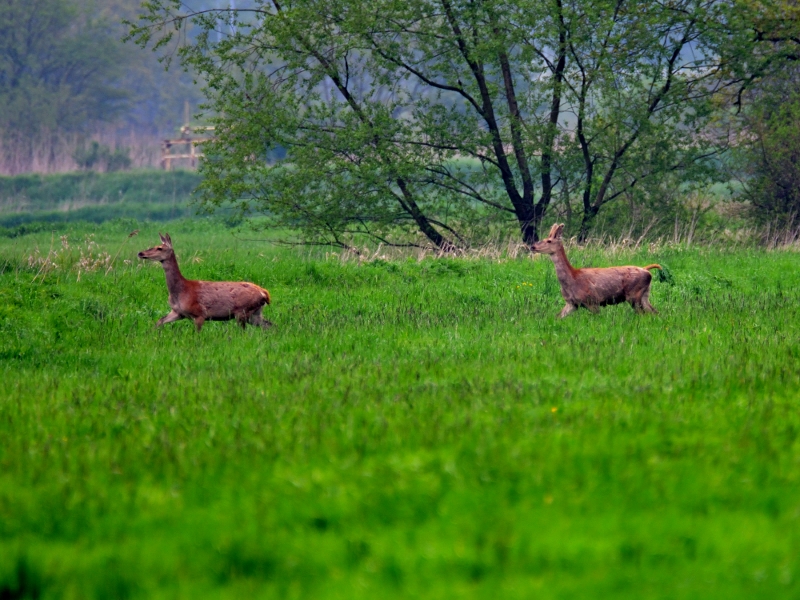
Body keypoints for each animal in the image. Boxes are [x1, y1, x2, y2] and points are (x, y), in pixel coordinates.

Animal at [137, 232, 272, 330]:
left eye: (159, 248)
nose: (140, 253)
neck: (181, 290)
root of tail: (264, 292)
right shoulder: (177, 312)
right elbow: (159, 321)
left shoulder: (200, 314)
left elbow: (196, 334)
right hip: (255, 313)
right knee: (270, 325)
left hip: (242, 311)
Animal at [532, 224, 664, 318]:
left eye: (549, 241)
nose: (532, 246)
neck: (572, 277)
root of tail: (646, 270)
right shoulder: (572, 303)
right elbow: (557, 317)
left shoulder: (592, 301)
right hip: (644, 294)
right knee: (654, 312)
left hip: (634, 294)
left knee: (644, 313)